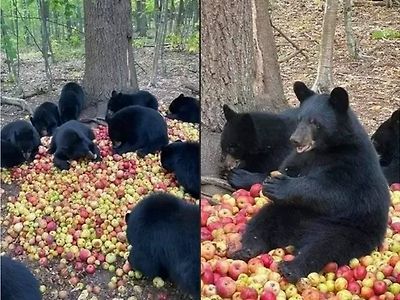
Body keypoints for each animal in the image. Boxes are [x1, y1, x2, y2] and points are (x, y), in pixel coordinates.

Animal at [230, 82, 390, 284]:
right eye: (300, 119)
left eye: (315, 122)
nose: (295, 140)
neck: (323, 150)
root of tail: (296, 235)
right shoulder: (300, 158)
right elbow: (286, 168)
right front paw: (265, 181)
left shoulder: (353, 163)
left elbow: (337, 192)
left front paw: (279, 186)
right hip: (287, 212)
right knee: (263, 220)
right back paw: (247, 249)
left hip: (348, 228)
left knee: (326, 246)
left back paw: (292, 268)